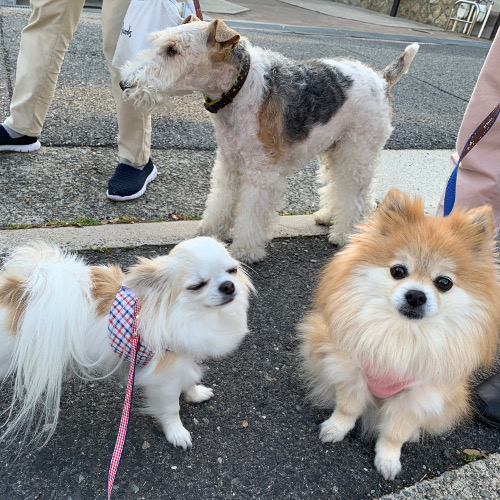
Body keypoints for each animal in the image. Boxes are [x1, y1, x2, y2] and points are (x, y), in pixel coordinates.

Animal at [0, 237, 254, 450]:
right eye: (197, 285)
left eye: (232, 270)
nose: (228, 285)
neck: (192, 314)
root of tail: (19, 288)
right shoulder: (165, 376)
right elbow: (172, 408)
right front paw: (177, 433)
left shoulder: (184, 358)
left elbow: (190, 379)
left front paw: (195, 393)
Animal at [120, 17, 418, 264]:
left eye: (172, 50)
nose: (125, 84)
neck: (238, 89)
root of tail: (381, 78)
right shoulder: (228, 162)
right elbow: (221, 200)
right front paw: (210, 232)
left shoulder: (262, 172)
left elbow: (251, 215)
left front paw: (244, 251)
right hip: (336, 148)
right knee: (344, 188)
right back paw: (328, 217)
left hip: (357, 150)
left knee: (357, 194)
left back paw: (345, 235)